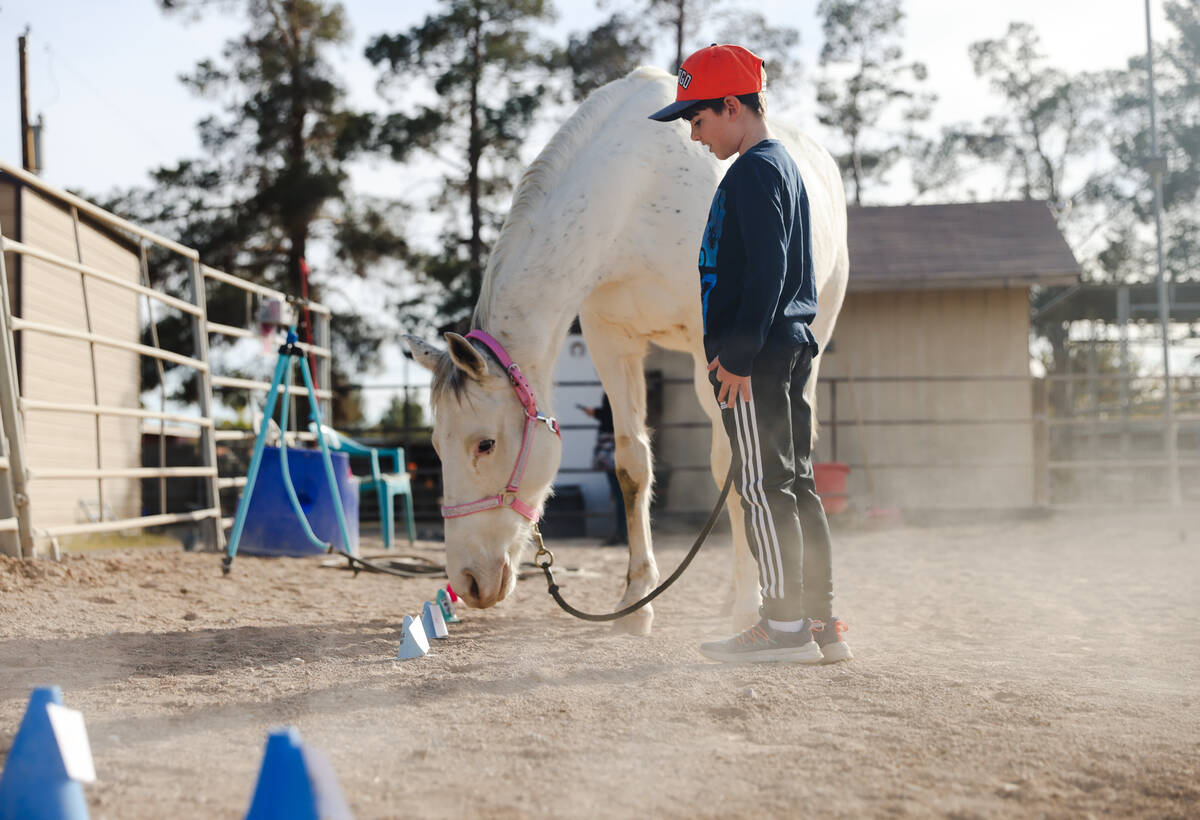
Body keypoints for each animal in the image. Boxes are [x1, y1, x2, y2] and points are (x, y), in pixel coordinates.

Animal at [408, 69, 849, 633]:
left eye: (484, 444)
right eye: (436, 447)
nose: (467, 584)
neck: (637, 194)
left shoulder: (717, 347)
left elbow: (733, 464)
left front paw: (750, 602)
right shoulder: (609, 341)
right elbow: (631, 465)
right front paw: (637, 601)